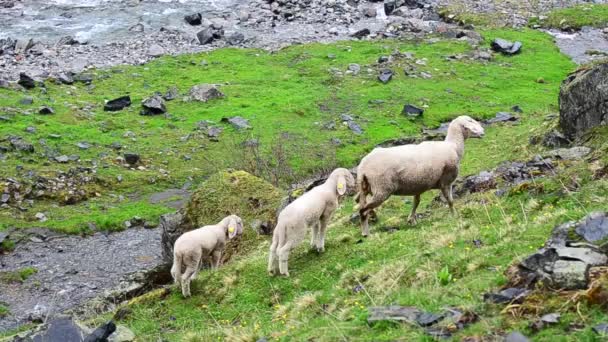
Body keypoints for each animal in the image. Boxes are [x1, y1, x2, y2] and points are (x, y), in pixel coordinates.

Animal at [356, 115, 484, 235]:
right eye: (470, 121)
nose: (483, 132)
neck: (453, 146)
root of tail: (363, 167)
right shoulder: (446, 181)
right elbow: (450, 201)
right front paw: (454, 216)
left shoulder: (417, 185)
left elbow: (416, 202)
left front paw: (411, 219)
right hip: (382, 188)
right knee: (363, 210)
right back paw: (365, 232)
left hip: (365, 188)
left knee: (361, 205)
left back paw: (371, 217)